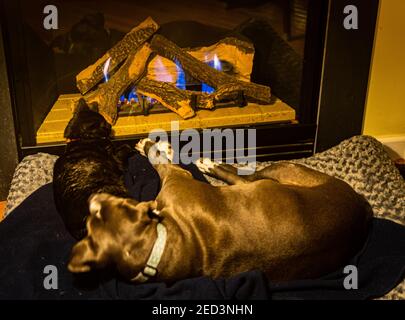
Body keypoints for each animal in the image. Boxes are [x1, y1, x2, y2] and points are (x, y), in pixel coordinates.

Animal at [52, 99, 135, 239]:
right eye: (105, 125)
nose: (110, 125)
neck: (82, 139)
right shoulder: (115, 159)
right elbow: (124, 149)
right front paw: (131, 149)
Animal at [67, 138, 372, 282]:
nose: (94, 198)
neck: (160, 245)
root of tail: (362, 209)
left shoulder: (176, 179)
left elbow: (162, 161)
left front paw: (151, 146)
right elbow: (165, 161)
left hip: (283, 170)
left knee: (244, 177)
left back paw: (208, 164)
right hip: (282, 172)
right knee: (245, 178)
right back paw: (208, 164)